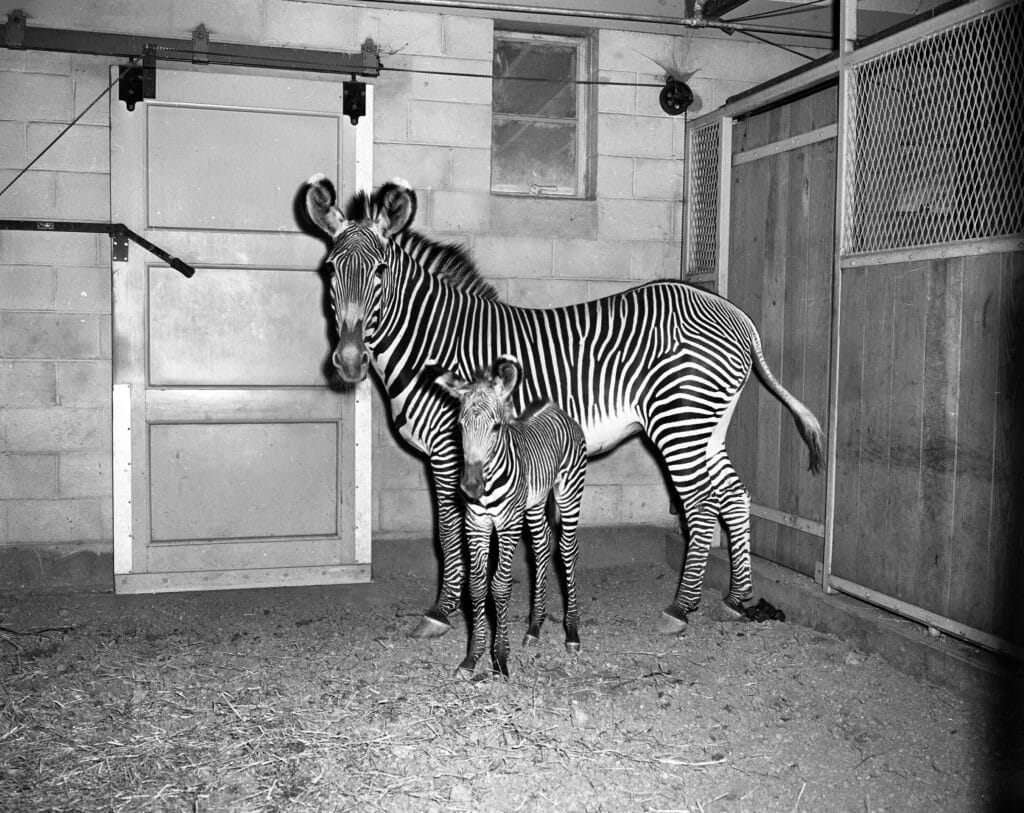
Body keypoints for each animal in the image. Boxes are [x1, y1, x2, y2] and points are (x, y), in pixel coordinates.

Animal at [304, 174, 824, 638]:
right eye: (330, 270)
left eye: (380, 271)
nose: (348, 361)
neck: (432, 343)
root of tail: (733, 313)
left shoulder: (450, 450)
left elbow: (448, 530)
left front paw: (444, 610)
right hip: (707, 425)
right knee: (734, 496)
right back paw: (737, 598)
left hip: (680, 421)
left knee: (698, 506)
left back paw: (681, 608)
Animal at [435, 355, 587, 678]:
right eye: (459, 426)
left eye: (495, 427)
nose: (470, 487)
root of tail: (554, 407)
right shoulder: (476, 524)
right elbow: (477, 586)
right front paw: (472, 658)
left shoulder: (507, 525)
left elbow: (500, 586)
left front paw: (500, 660)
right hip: (534, 503)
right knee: (541, 547)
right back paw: (534, 628)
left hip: (569, 491)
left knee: (568, 550)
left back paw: (571, 633)